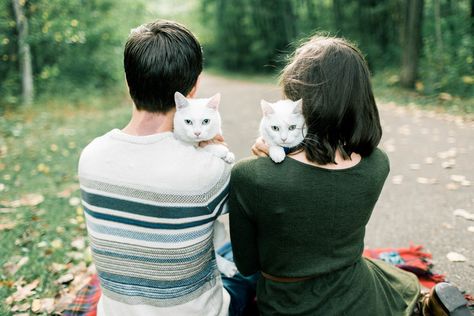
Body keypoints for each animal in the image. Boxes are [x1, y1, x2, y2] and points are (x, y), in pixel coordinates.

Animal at [174, 90, 237, 276]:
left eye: (206, 121)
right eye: (188, 122)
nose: (197, 133)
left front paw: (229, 155)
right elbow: (205, 149)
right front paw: (221, 151)